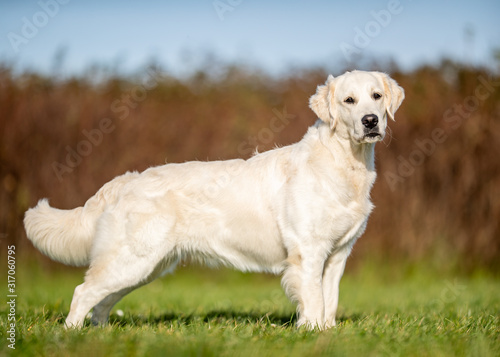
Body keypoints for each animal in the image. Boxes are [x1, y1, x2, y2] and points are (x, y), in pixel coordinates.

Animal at [25, 71, 404, 330]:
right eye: (349, 101)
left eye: (375, 96)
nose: (371, 121)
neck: (344, 163)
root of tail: (126, 180)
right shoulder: (308, 252)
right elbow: (313, 300)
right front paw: (310, 332)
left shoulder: (338, 254)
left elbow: (330, 300)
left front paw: (327, 333)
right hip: (133, 259)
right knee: (82, 292)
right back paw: (71, 334)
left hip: (144, 266)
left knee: (101, 301)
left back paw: (100, 333)